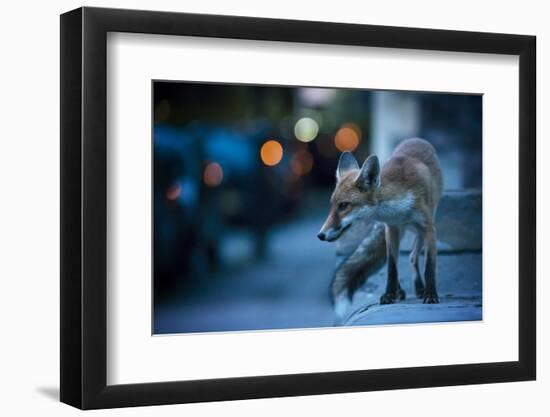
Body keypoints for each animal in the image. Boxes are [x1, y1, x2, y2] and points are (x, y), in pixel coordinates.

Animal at [320, 136, 444, 308]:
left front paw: (431, 294)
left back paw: (420, 289)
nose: (320, 235)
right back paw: (402, 291)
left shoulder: (429, 228)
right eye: (332, 205)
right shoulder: (391, 228)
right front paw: (389, 294)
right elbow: (392, 266)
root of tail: (416, 139)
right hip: (398, 233)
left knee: (412, 256)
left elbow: (429, 266)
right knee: (404, 259)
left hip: (421, 229)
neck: (399, 210)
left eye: (343, 205)